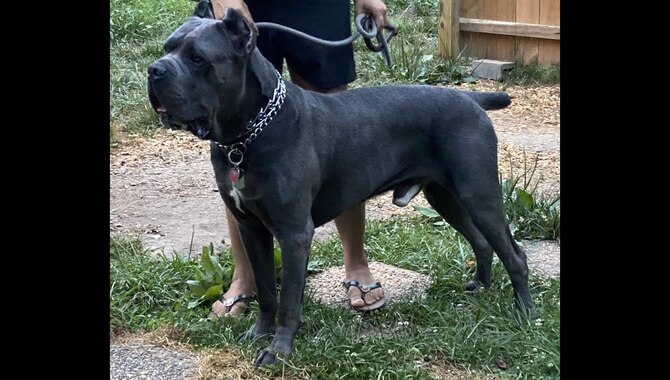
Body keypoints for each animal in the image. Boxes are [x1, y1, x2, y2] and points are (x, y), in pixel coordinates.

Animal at [147, 2, 536, 366]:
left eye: (197, 58)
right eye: (167, 47)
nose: (154, 70)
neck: (247, 133)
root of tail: (470, 98)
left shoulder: (294, 233)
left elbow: (289, 298)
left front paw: (279, 350)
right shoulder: (251, 228)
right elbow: (267, 291)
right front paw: (259, 334)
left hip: (479, 194)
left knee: (514, 254)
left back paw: (525, 314)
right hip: (445, 197)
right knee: (482, 242)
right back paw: (480, 286)